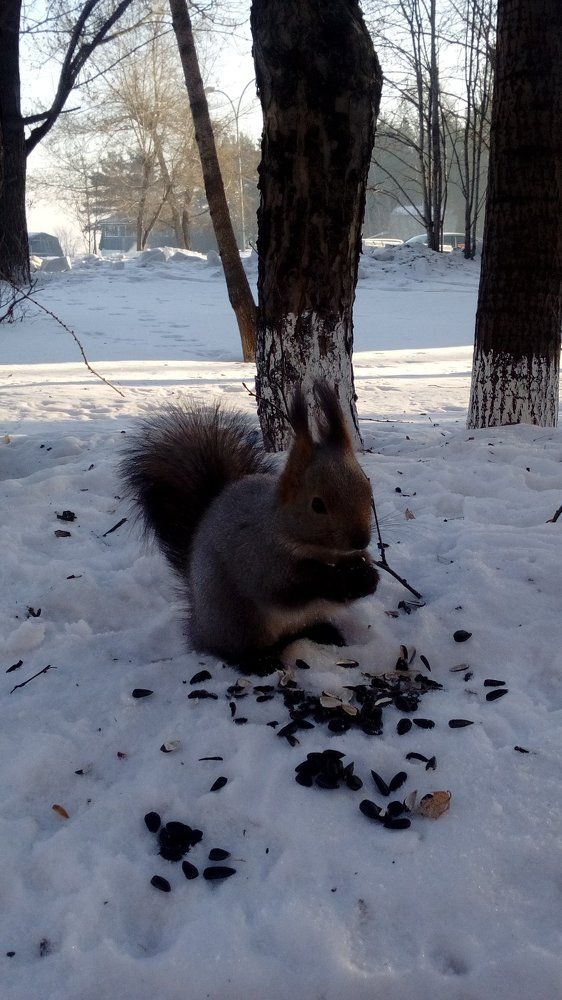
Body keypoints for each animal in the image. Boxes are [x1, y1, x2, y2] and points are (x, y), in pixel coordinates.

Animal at [120, 381, 379, 675]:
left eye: (368, 489)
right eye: (317, 504)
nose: (360, 540)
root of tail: (199, 628)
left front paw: (368, 576)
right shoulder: (260, 561)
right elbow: (286, 591)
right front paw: (338, 579)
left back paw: (325, 633)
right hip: (238, 621)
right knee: (234, 651)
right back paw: (259, 662)